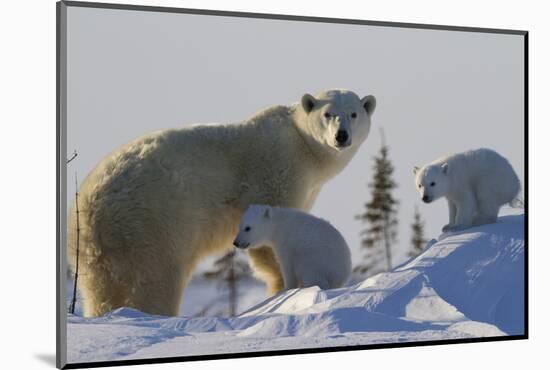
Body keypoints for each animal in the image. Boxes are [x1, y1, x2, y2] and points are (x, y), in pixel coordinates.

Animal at [69, 90, 378, 318]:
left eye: (354, 113)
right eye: (328, 114)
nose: (342, 136)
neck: (302, 144)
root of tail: (92, 207)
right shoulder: (277, 172)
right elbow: (269, 241)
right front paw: (280, 289)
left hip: (94, 253)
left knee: (100, 291)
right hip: (153, 225)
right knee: (158, 281)